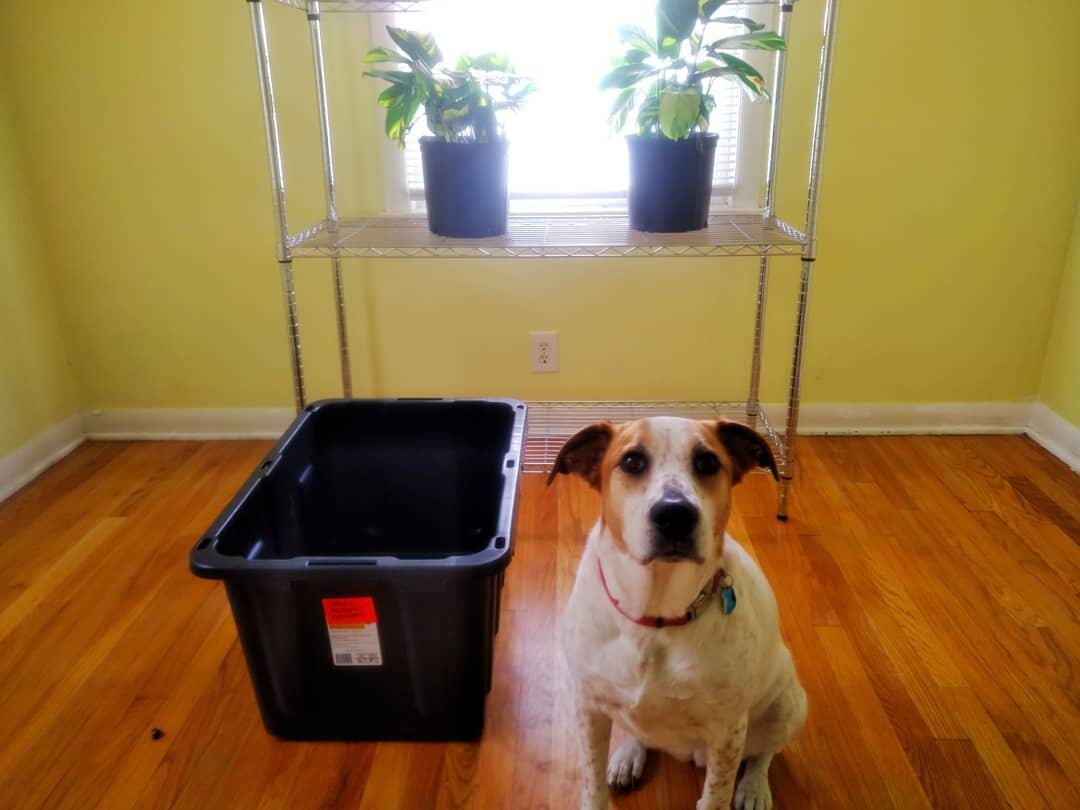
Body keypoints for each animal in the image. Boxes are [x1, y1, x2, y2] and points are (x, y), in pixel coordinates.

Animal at [552, 419, 807, 810]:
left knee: (764, 753)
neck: (655, 617)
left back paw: (754, 788)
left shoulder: (728, 731)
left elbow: (715, 796)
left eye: (708, 462)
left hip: (789, 706)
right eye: (632, 461)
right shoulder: (589, 708)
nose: (675, 514)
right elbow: (592, 787)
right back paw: (628, 755)